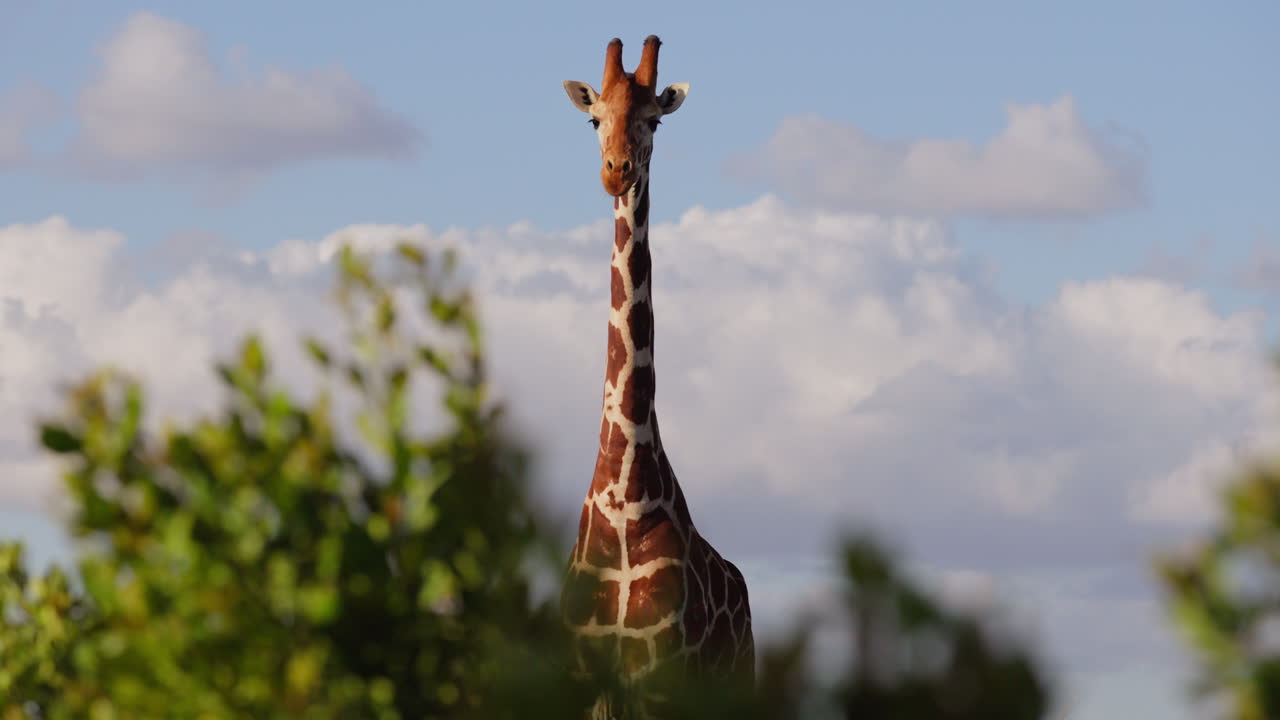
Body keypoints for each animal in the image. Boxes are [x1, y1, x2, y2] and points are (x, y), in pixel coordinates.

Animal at [559, 35, 754, 716]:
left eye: (654, 119)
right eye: (595, 119)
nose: (615, 170)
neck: (626, 497)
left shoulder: (659, 679)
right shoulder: (581, 679)